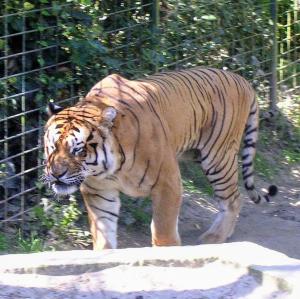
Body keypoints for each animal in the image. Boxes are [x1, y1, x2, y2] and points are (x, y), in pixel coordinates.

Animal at [42, 67, 276, 251]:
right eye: (53, 147)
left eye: (78, 150)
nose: (56, 174)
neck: (111, 168)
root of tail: (242, 79)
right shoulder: (99, 191)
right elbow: (103, 233)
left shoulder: (167, 183)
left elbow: (163, 229)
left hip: (218, 157)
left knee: (234, 198)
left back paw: (214, 237)